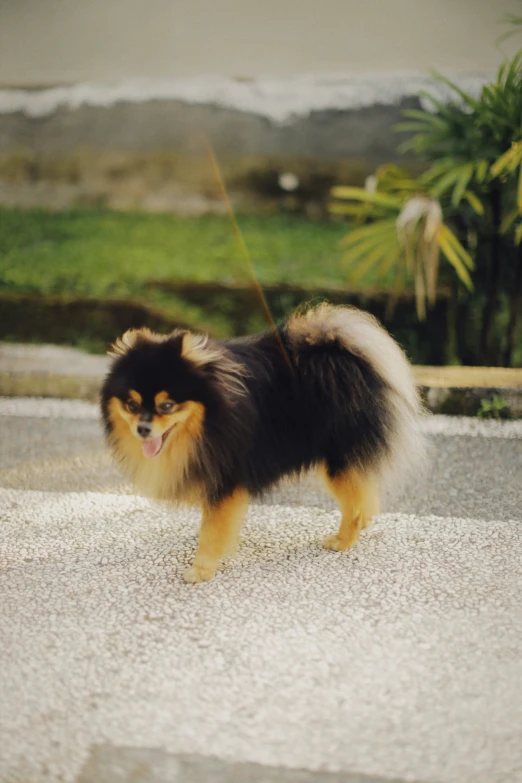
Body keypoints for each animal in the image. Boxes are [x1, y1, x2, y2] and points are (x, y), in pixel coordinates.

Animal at [100, 304, 422, 580]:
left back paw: (343, 540)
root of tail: (340, 357)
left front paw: (201, 568)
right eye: (131, 404)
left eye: (166, 406)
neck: (211, 417)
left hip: (337, 459)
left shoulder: (226, 476)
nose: (142, 428)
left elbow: (213, 528)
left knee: (353, 503)